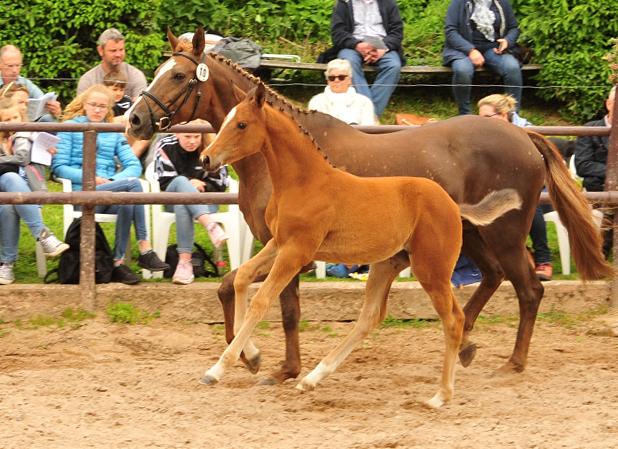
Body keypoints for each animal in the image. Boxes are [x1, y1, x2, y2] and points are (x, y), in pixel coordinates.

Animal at [199, 85, 520, 410]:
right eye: (225, 119)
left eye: (241, 124)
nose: (206, 158)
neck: (303, 182)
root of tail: (454, 206)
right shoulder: (279, 243)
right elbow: (242, 277)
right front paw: (250, 357)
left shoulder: (297, 251)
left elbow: (262, 301)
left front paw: (217, 369)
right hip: (387, 265)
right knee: (370, 318)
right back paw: (312, 378)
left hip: (432, 270)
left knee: (454, 320)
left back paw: (441, 395)